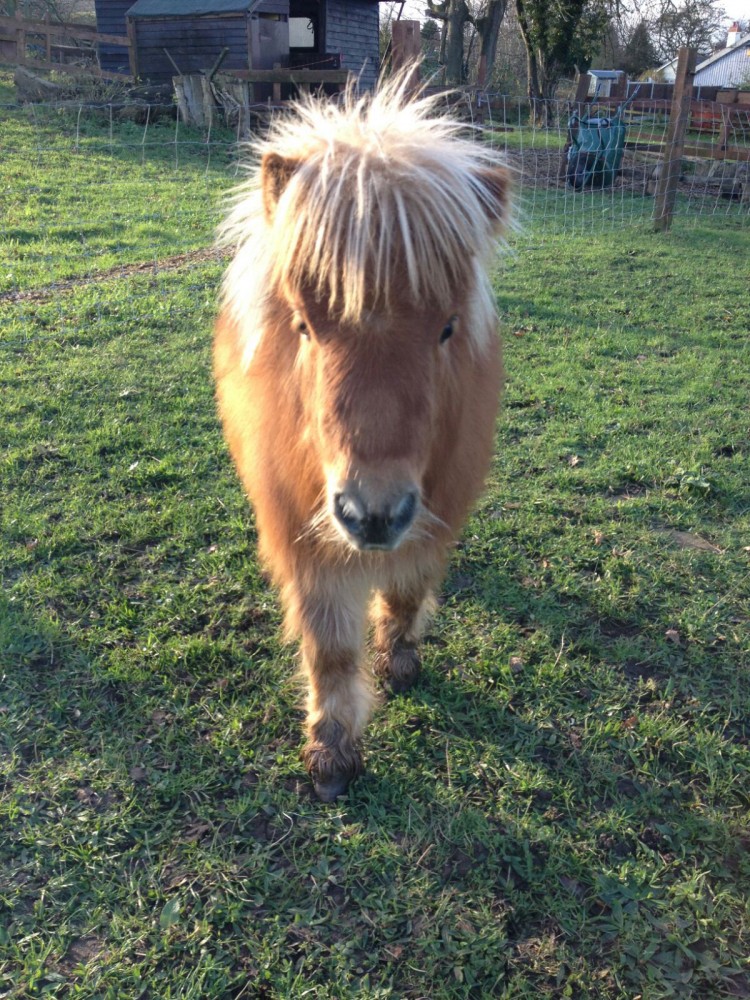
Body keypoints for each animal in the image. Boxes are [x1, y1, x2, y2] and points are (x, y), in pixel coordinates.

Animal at [213, 79, 510, 801]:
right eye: (303, 324)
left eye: (447, 328)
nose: (372, 514)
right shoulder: (303, 536)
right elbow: (331, 647)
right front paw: (332, 749)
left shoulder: (436, 510)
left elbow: (407, 588)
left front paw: (401, 658)